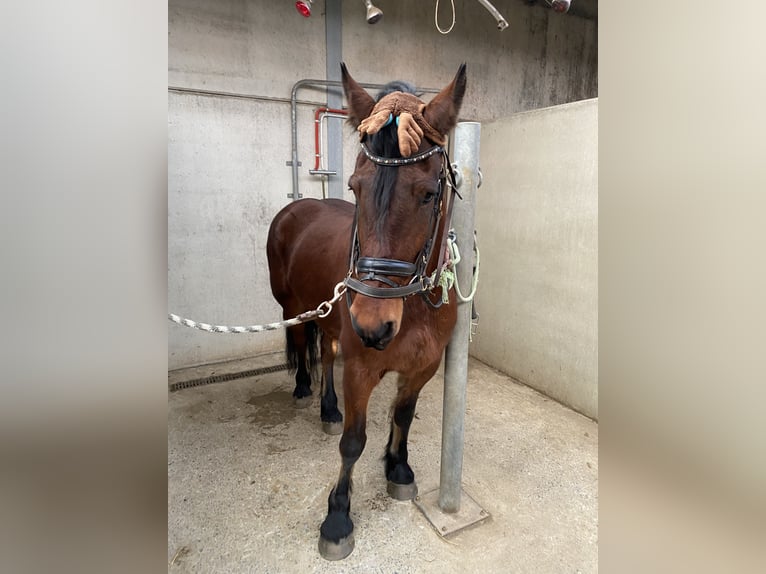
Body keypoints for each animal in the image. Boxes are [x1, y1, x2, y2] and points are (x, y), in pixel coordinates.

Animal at [264, 64, 468, 564]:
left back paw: (328, 406)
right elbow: (353, 442)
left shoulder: (422, 367)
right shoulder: (361, 368)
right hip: (294, 307)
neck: (414, 308)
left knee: (326, 350)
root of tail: (297, 206)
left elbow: (402, 417)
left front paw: (398, 468)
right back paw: (305, 389)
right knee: (305, 344)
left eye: (428, 192)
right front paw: (337, 518)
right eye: (355, 187)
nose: (374, 325)